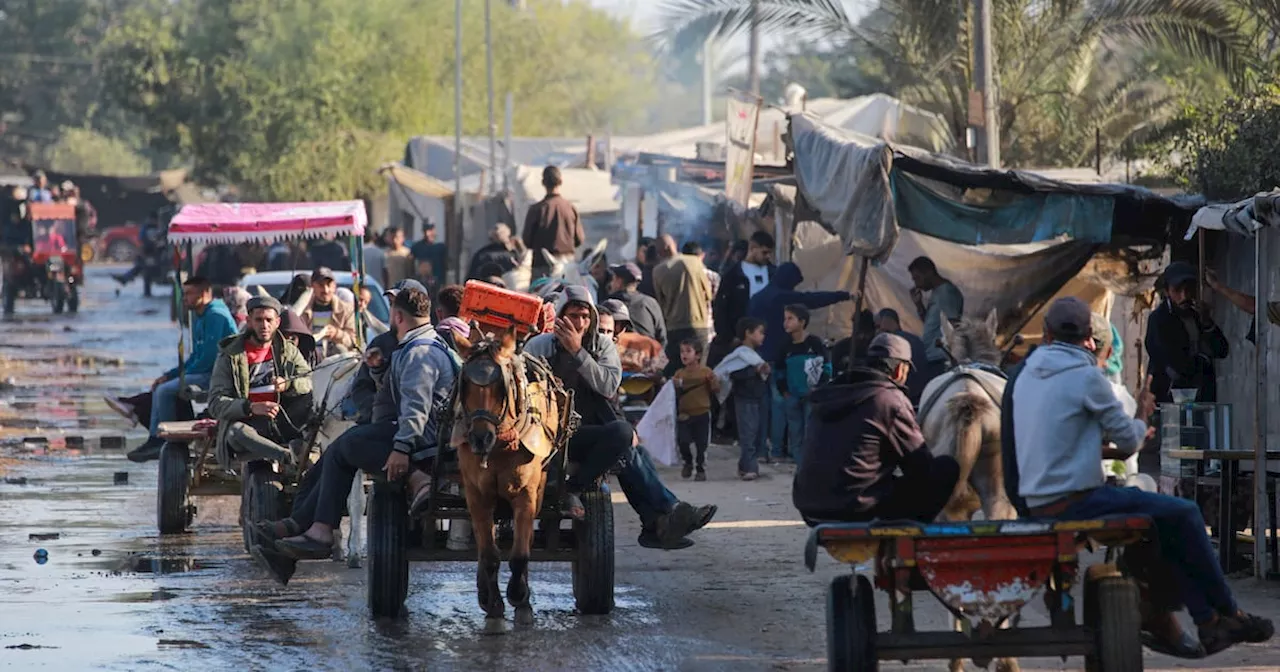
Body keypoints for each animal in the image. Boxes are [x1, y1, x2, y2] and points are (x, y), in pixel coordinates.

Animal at [448, 325, 573, 629]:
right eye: (464, 386)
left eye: (499, 388)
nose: (480, 438)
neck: (500, 445)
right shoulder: (477, 495)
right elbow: (489, 554)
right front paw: (492, 601)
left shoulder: (526, 494)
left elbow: (520, 555)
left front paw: (519, 596)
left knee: (524, 542)